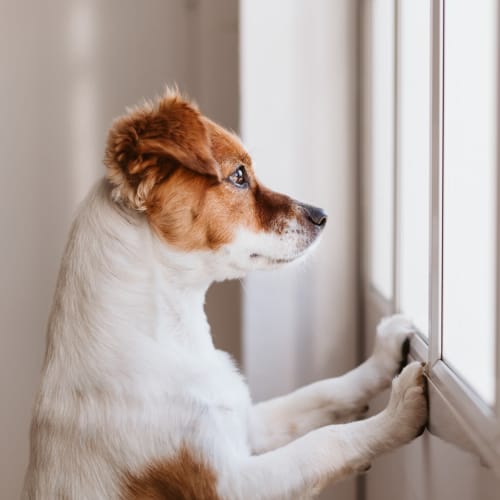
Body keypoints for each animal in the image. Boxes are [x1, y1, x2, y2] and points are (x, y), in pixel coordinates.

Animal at [23, 88, 428, 498]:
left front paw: (384, 355)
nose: (322, 215)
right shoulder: (231, 484)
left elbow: (322, 392)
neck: (171, 336)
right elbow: (325, 442)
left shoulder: (247, 424)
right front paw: (398, 413)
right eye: (238, 176)